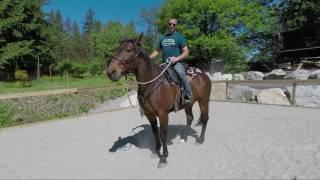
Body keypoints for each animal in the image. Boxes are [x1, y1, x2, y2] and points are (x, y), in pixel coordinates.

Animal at [107, 34, 212, 168]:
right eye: (117, 49)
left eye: (129, 50)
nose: (110, 72)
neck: (152, 83)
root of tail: (204, 75)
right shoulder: (150, 115)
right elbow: (155, 133)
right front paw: (156, 151)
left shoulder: (163, 114)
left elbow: (163, 135)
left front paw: (164, 157)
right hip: (189, 104)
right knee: (190, 118)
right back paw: (184, 137)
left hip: (204, 101)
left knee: (205, 118)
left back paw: (200, 140)